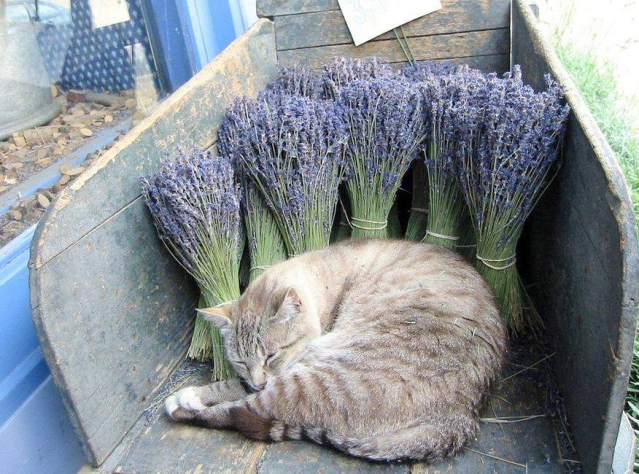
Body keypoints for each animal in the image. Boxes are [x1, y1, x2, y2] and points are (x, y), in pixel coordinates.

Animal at [165, 238, 506, 463]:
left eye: (271, 356)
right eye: (240, 361)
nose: (259, 379)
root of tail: (461, 418)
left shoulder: (290, 366)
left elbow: (237, 391)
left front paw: (192, 397)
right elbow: (237, 383)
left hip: (319, 379)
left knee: (245, 411)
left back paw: (181, 407)